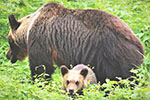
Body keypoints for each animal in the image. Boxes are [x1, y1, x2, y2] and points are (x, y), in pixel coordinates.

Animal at [6, 2, 144, 83]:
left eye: (9, 41)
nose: (8, 55)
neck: (29, 28)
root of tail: (140, 45)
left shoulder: (41, 40)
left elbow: (41, 68)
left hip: (114, 55)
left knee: (121, 79)